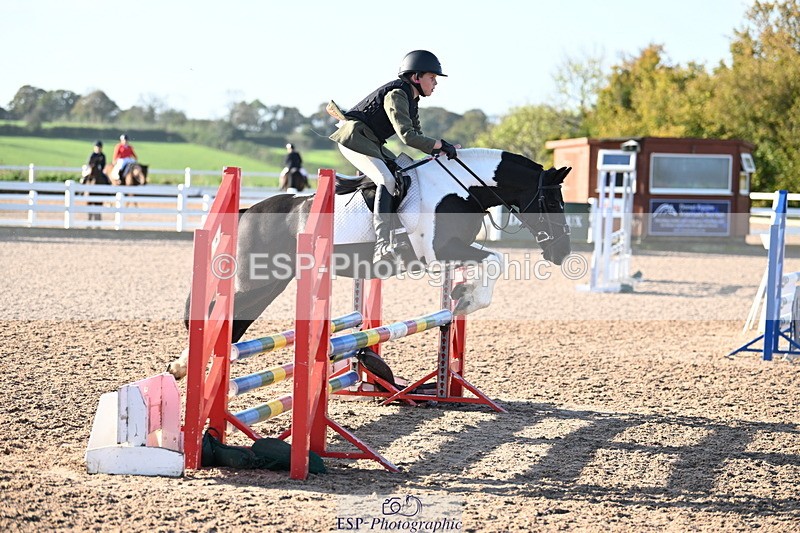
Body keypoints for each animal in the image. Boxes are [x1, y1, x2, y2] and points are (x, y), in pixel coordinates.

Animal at [167, 148, 571, 379]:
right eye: (552, 202)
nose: (562, 252)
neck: (460, 188)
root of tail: (248, 211)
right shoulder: (440, 251)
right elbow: (495, 259)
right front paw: (467, 297)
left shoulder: (454, 249)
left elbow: (491, 261)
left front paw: (461, 294)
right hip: (256, 280)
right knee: (218, 315)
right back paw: (187, 371)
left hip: (271, 283)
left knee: (235, 323)